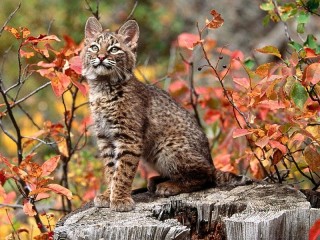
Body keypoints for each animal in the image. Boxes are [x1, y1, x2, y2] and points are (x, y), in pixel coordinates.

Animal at [81, 17, 216, 212]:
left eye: (114, 49)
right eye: (94, 47)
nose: (101, 57)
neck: (103, 86)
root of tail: (211, 159)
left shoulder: (129, 138)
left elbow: (123, 170)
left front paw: (120, 199)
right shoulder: (105, 137)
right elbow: (111, 169)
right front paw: (109, 194)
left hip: (167, 146)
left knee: (209, 175)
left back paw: (170, 186)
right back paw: (157, 180)